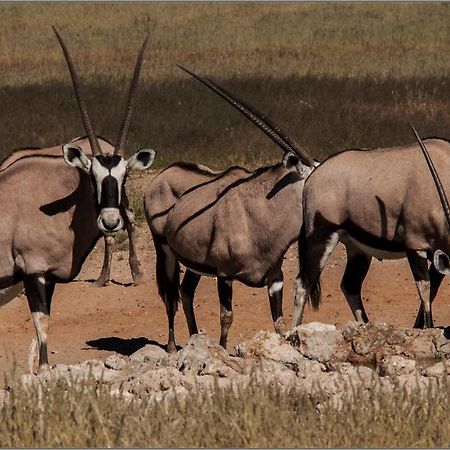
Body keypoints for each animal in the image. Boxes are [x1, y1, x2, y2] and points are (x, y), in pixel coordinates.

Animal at [0, 28, 155, 368]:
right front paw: (44, 369)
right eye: (92, 176)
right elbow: (42, 323)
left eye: (124, 176)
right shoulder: (33, 270)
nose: (109, 221)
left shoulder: (50, 276)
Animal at [145, 67, 316, 352]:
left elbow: (279, 323)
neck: (263, 212)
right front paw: (223, 351)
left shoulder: (275, 277)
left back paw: (195, 339)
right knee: (170, 296)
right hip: (165, 251)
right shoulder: (224, 276)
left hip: (194, 263)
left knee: (185, 291)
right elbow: (227, 317)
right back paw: (171, 347)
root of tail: (163, 174)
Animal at [294, 125, 450, 330]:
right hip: (321, 237)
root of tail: (312, 178)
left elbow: (432, 291)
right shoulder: (415, 246)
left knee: (350, 285)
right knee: (303, 285)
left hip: (357, 249)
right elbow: (425, 291)